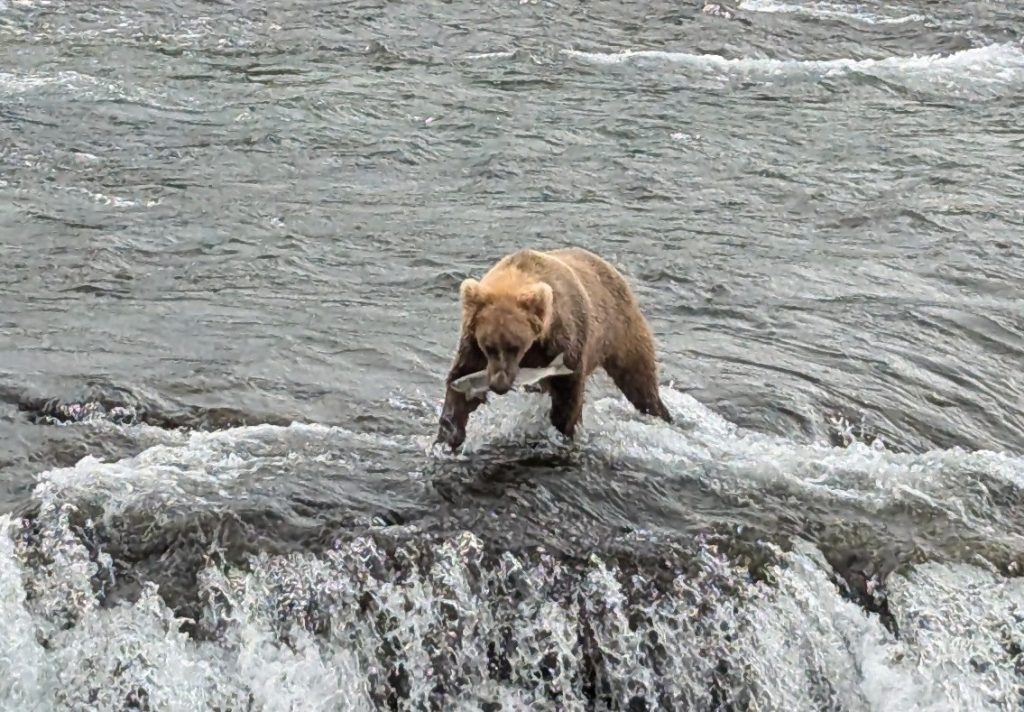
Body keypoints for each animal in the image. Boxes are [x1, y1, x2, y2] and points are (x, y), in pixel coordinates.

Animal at [435, 247, 673, 451]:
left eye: (515, 346)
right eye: (488, 346)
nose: (499, 385)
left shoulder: (563, 339)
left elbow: (568, 394)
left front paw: (562, 431)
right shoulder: (473, 343)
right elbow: (462, 378)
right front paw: (449, 434)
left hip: (620, 329)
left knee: (638, 379)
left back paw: (661, 414)